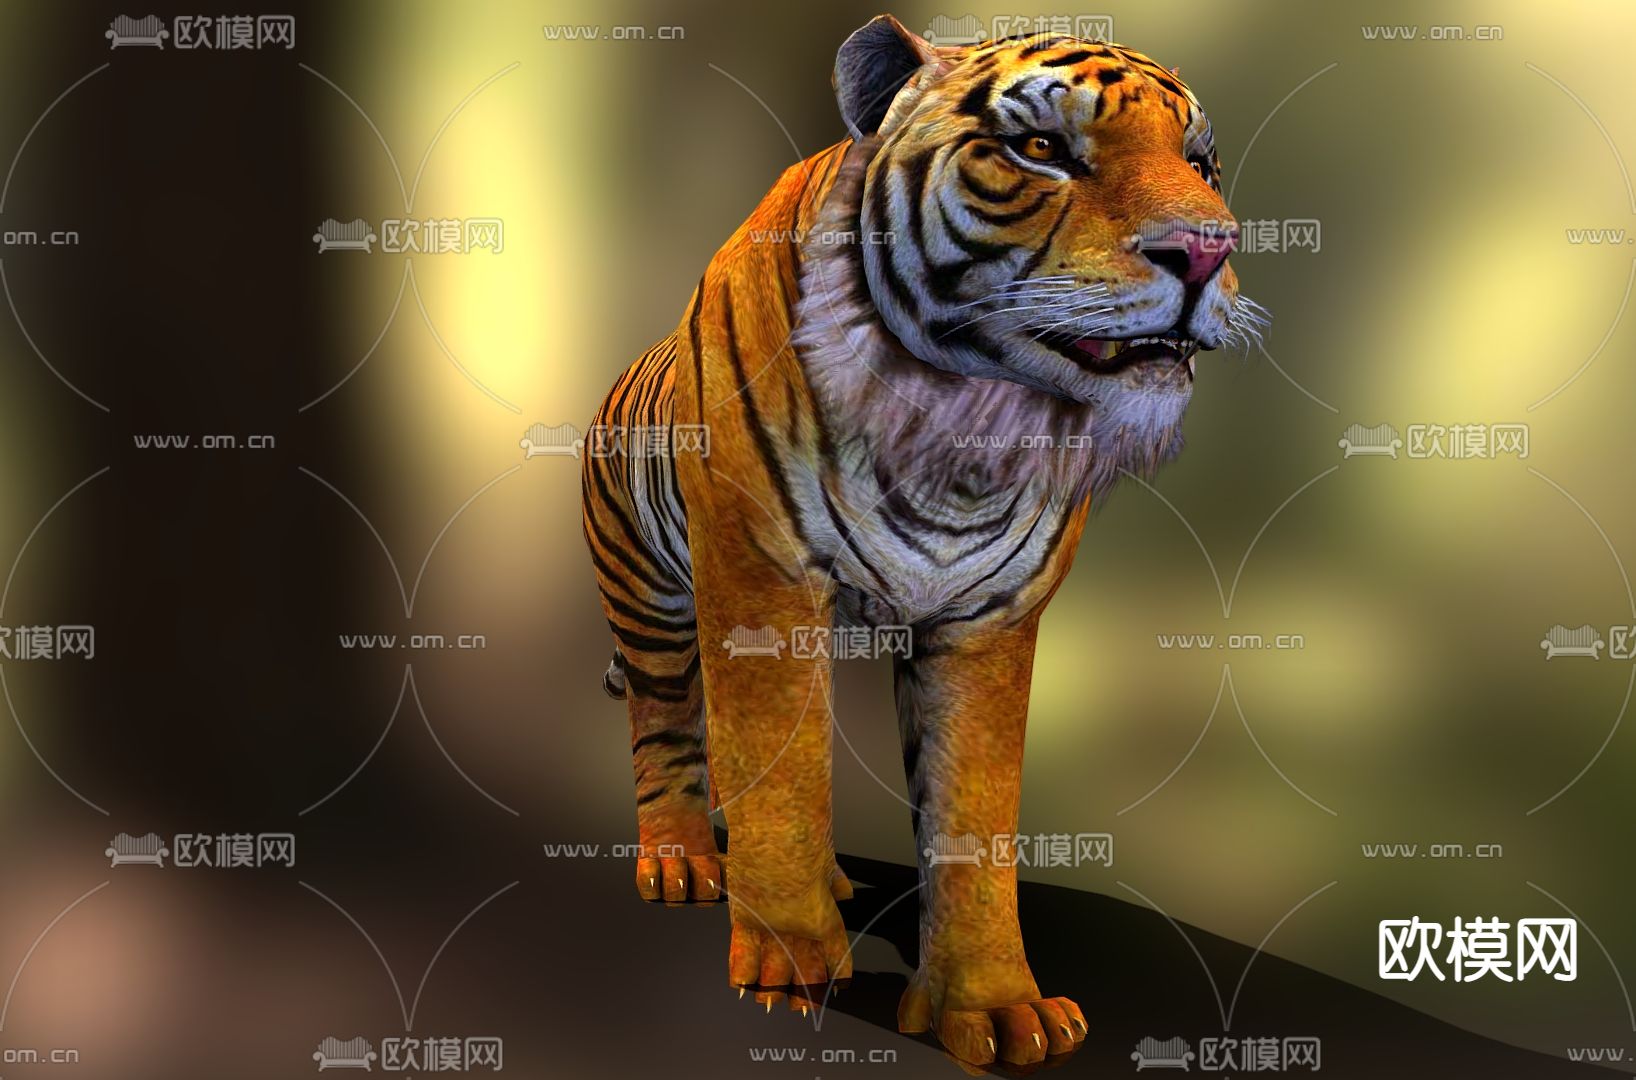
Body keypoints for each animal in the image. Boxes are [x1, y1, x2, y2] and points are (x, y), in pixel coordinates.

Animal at [580, 14, 1260, 1066]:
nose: (1206, 249)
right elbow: (778, 777)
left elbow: (971, 817)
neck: (962, 430)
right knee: (666, 725)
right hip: (648, 592)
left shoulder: (990, 620)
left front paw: (996, 1012)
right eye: (1041, 148)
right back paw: (685, 864)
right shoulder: (763, 583)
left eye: (1201, 164)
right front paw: (786, 968)